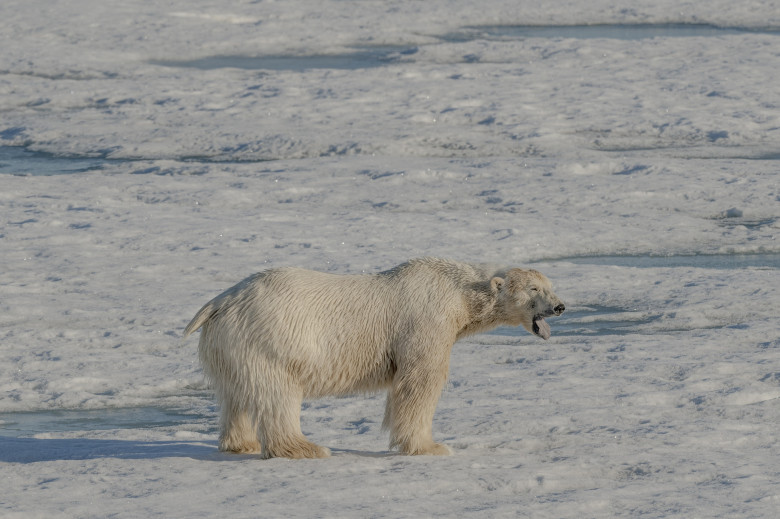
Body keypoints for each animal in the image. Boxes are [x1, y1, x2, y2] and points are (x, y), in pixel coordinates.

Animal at [184, 256, 560, 460]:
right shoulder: (425, 320)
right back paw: (306, 447)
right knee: (277, 393)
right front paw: (431, 446)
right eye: (535, 289)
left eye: (550, 286)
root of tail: (221, 301)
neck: (459, 293)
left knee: (236, 394)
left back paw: (241, 443)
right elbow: (420, 381)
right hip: (270, 337)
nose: (560, 307)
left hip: (231, 344)